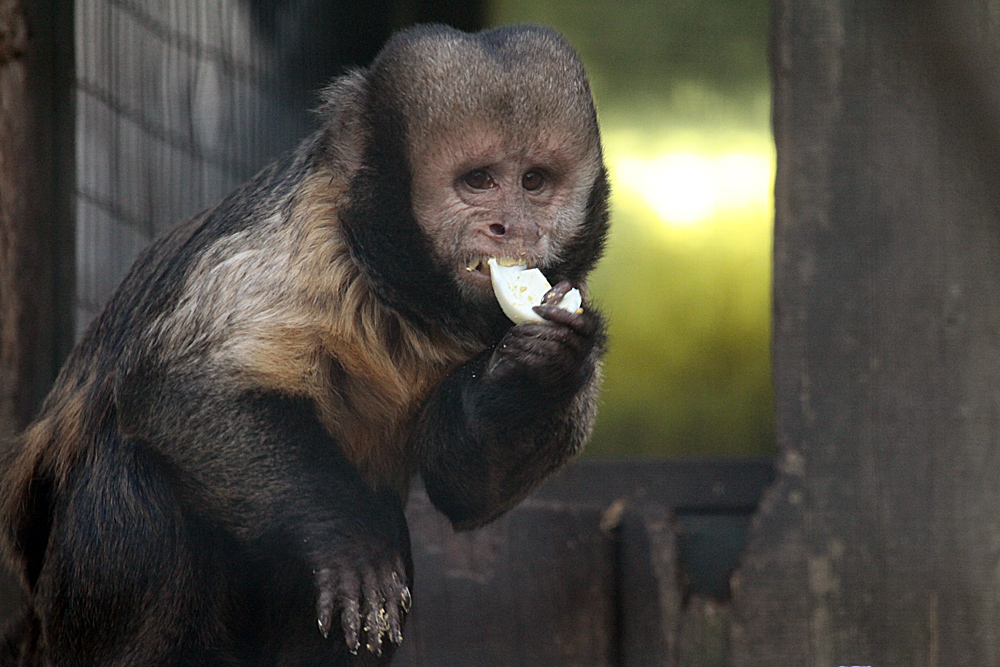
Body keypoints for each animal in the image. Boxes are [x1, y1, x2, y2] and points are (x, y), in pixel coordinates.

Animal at [0, 23, 608, 664]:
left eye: (533, 182)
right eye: (480, 181)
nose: (512, 228)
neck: (397, 293)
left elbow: (464, 489)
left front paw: (542, 370)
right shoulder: (307, 241)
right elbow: (175, 387)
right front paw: (353, 539)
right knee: (132, 467)